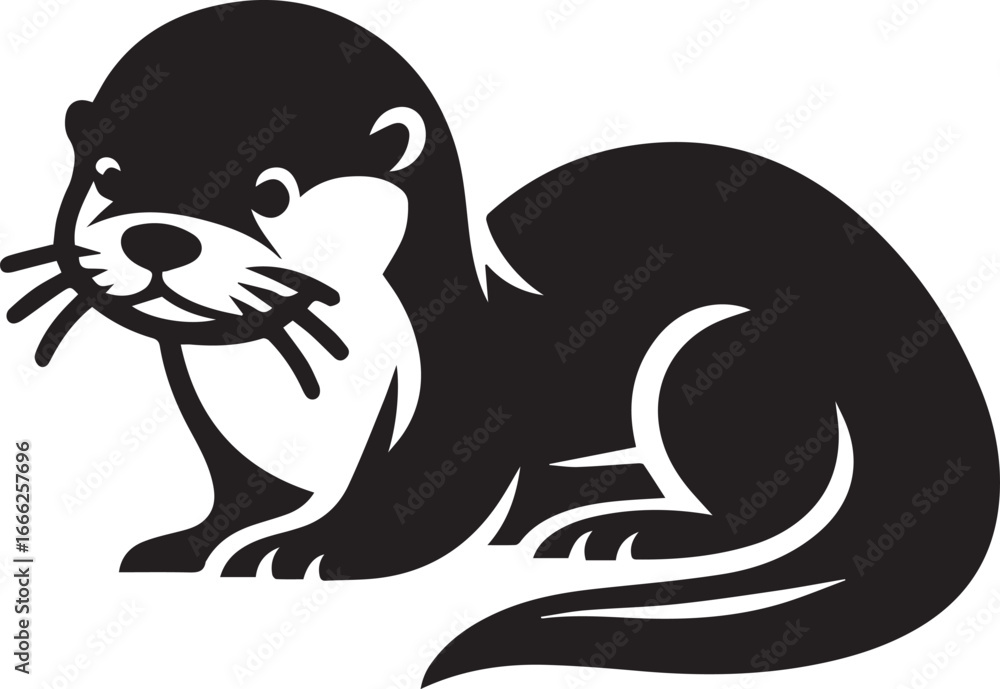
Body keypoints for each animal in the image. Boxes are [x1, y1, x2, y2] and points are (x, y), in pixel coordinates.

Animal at [2, 2, 997, 686]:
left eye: (270, 190)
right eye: (109, 175)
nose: (156, 237)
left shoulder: (451, 396)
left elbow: (420, 492)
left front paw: (312, 549)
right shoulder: (210, 416)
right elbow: (232, 483)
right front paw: (192, 540)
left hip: (712, 353)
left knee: (762, 497)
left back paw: (627, 530)